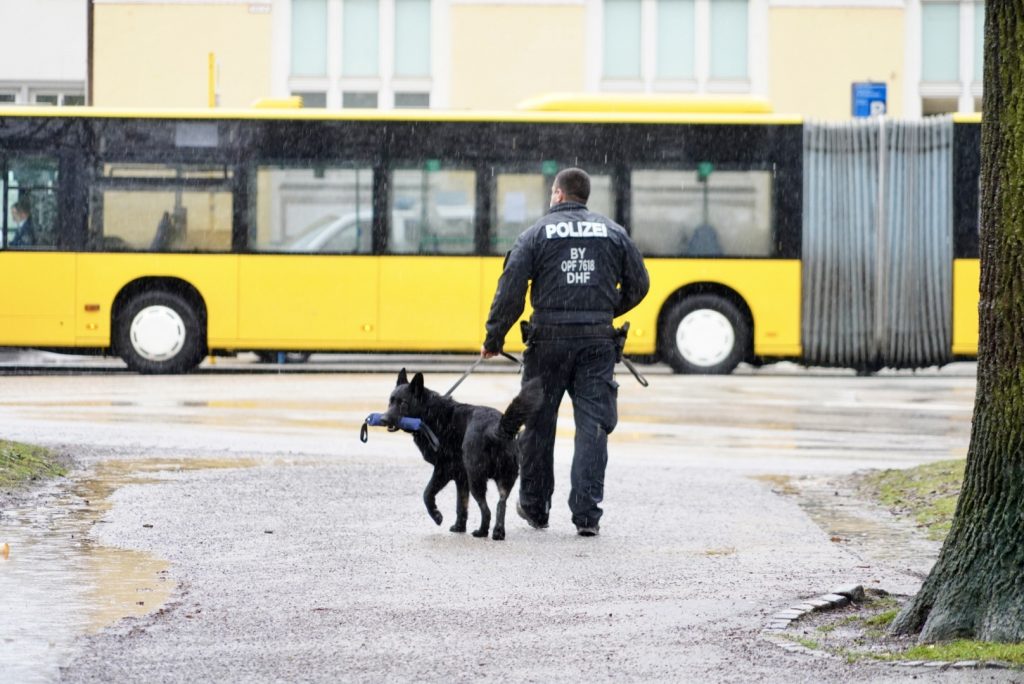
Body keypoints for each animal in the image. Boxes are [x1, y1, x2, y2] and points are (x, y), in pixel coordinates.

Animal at [380, 368, 544, 540]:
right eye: (390, 401)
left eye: (403, 403)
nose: (383, 419)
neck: (429, 413)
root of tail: (497, 427)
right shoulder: (461, 478)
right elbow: (461, 505)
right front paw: (459, 527)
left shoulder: (443, 469)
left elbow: (427, 493)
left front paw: (437, 515)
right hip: (503, 479)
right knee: (501, 503)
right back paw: (498, 532)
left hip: (476, 479)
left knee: (486, 509)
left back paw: (482, 531)